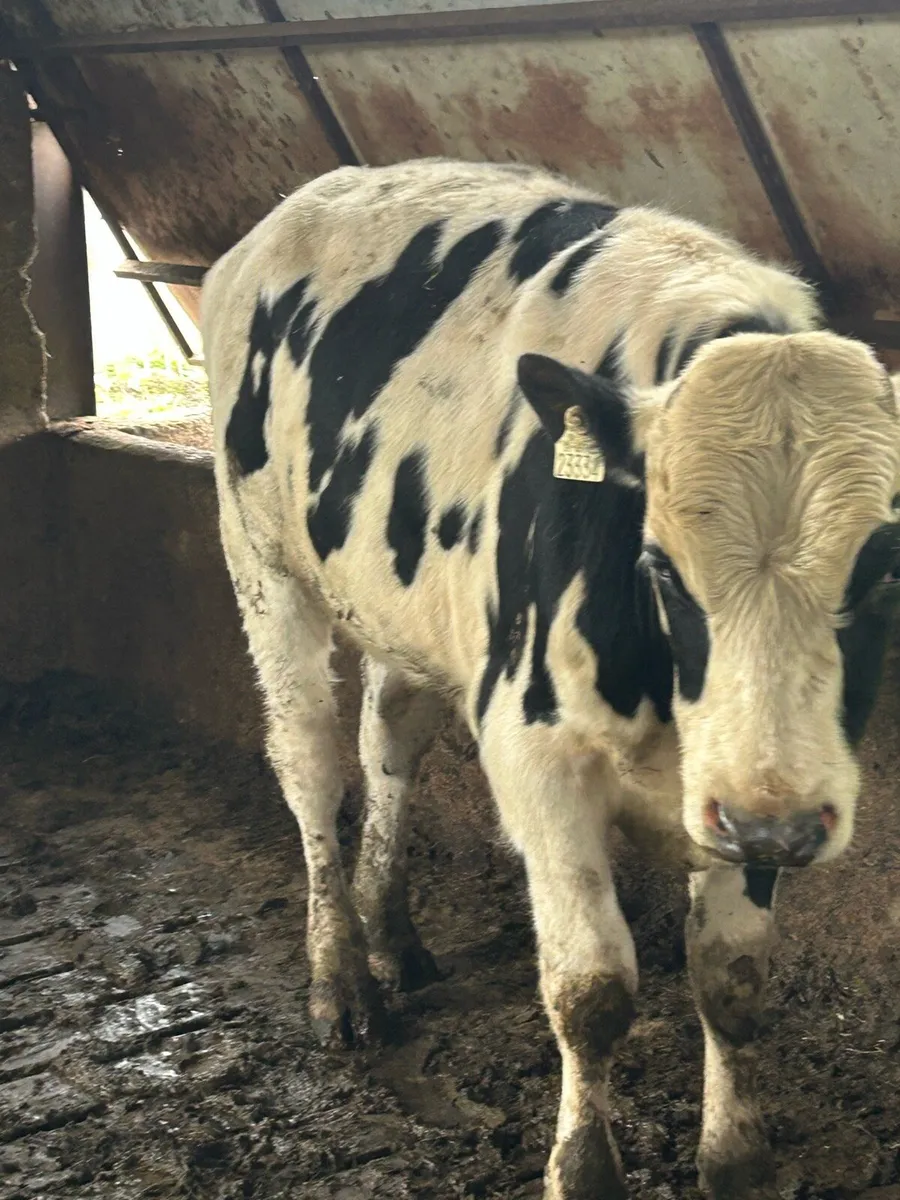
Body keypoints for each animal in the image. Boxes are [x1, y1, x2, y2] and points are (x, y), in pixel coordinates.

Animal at [201, 158, 900, 1200]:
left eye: (886, 570)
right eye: (660, 567)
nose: (772, 827)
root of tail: (303, 204)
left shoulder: (757, 785)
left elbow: (732, 983)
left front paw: (734, 1158)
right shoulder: (537, 758)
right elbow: (592, 991)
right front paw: (583, 1168)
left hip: (404, 614)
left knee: (390, 742)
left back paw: (393, 935)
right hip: (266, 568)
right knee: (314, 769)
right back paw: (344, 981)